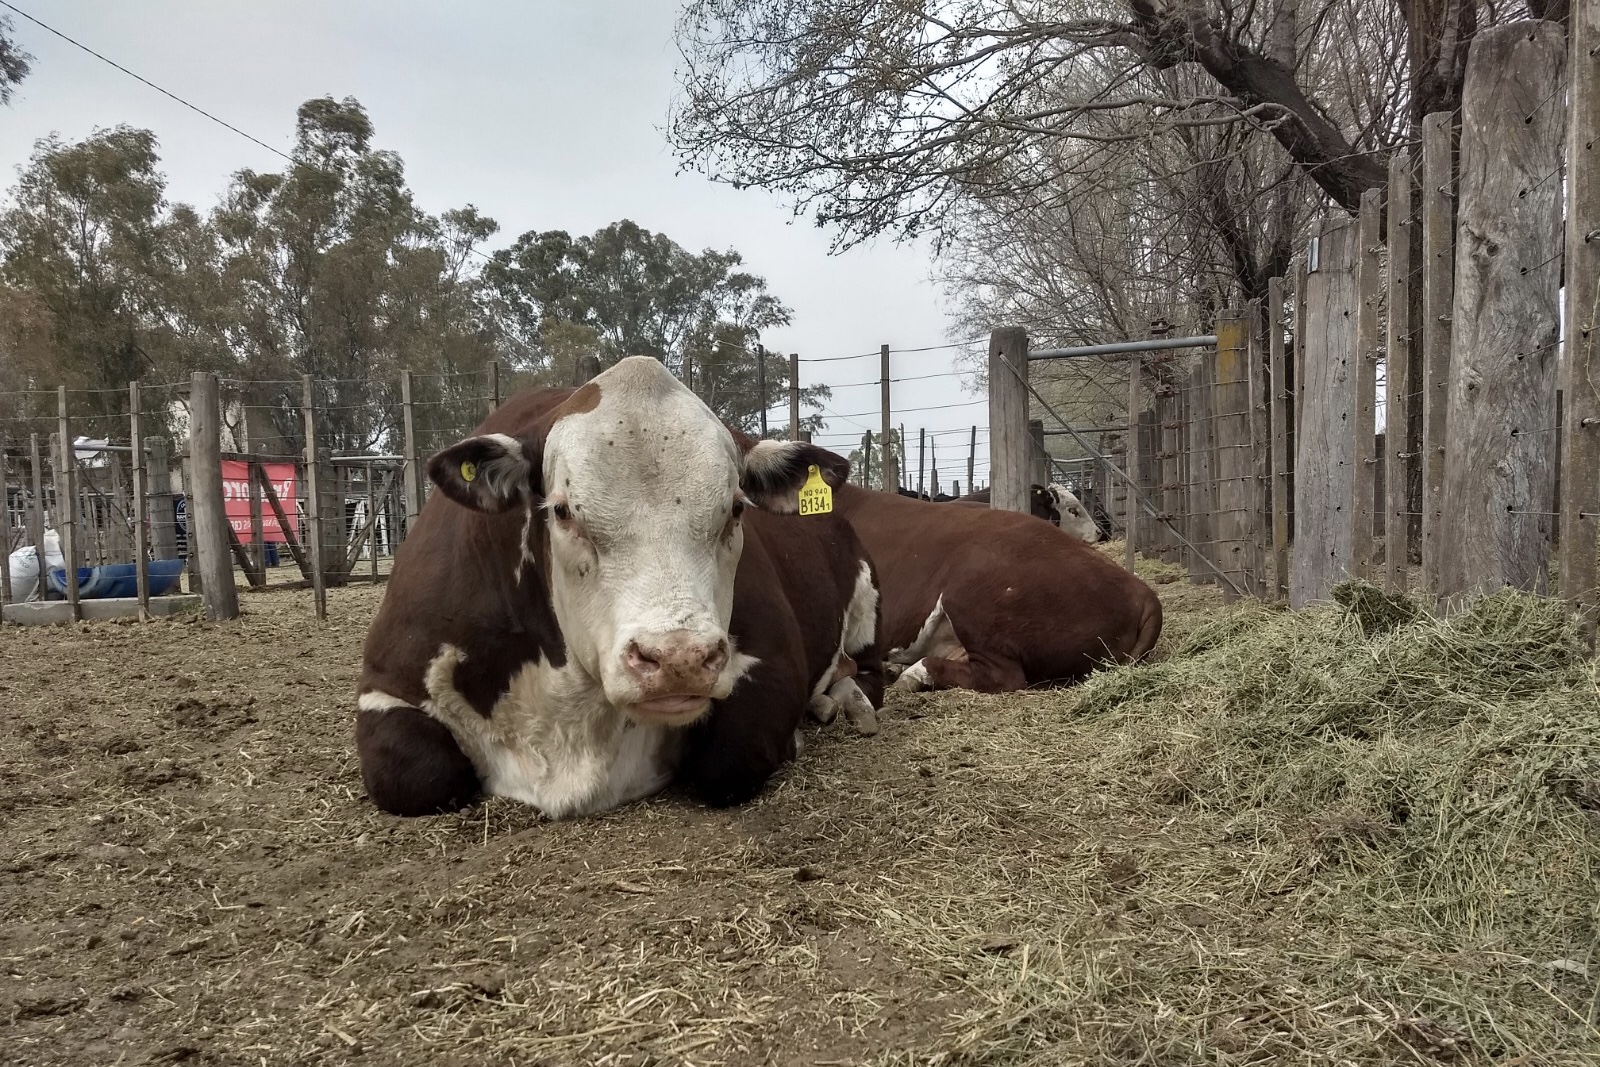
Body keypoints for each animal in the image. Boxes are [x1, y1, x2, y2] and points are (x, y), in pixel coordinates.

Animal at [353, 356, 889, 819]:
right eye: (562, 511)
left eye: (736, 508)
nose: (678, 659)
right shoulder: (386, 682)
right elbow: (417, 776)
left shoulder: (773, 664)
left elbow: (729, 760)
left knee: (865, 672)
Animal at [819, 479, 1158, 697]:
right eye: (1073, 510)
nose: (1100, 533)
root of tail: (1143, 592)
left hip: (970, 592)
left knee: (1003, 677)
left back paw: (913, 674)